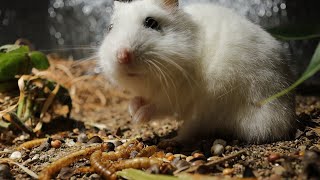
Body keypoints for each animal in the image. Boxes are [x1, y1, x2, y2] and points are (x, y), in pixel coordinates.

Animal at [99, 0, 296, 143]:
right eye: (110, 28)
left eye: (151, 22)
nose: (122, 56)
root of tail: (287, 117)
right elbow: (141, 99)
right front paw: (132, 109)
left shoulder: (175, 96)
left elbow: (157, 107)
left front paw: (137, 118)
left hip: (207, 111)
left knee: (190, 131)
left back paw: (171, 141)